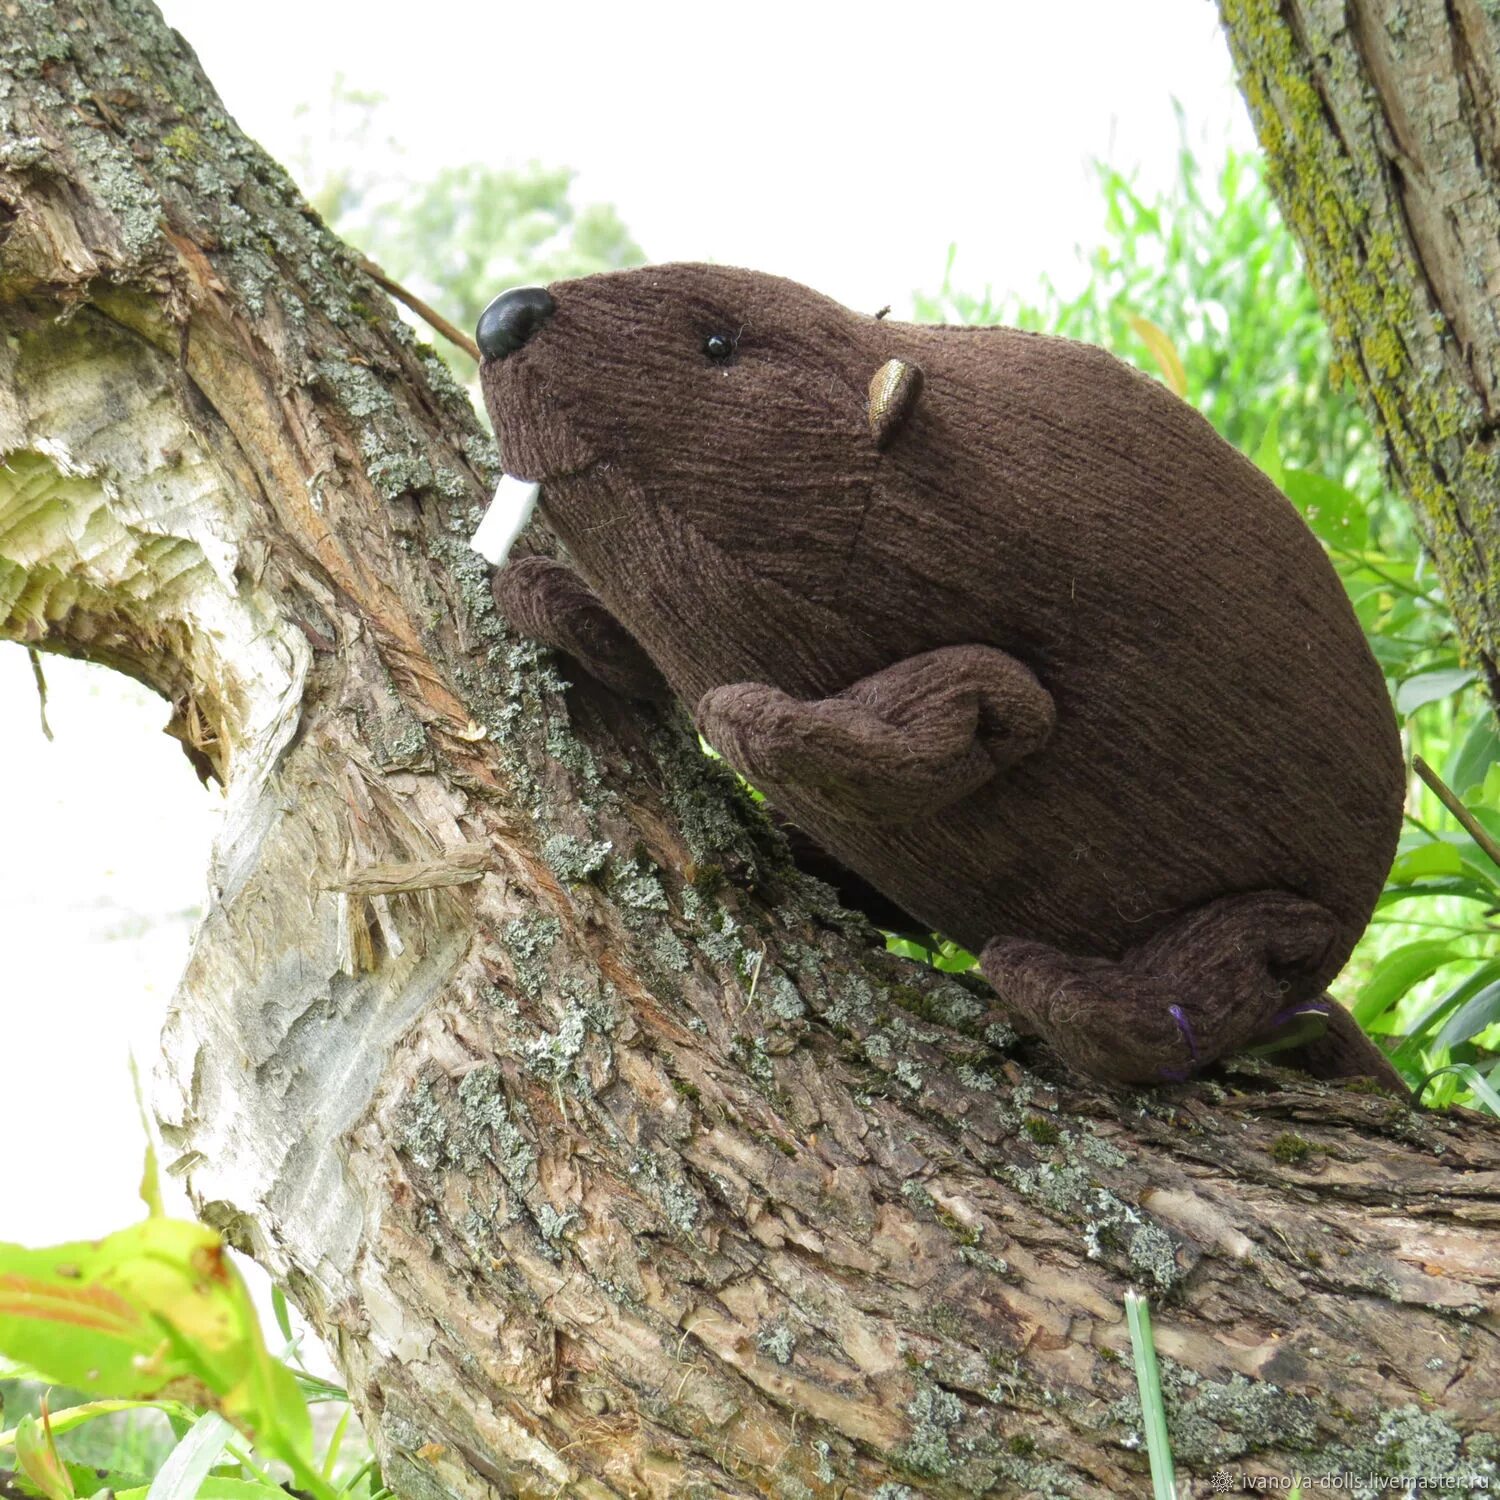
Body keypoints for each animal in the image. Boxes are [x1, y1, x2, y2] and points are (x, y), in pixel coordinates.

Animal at [477, 264, 1404, 1086]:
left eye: (716, 345)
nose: (499, 320)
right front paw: (550, 594)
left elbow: (979, 705)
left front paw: (763, 719)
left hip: (1287, 934)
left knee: (1225, 972)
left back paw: (1078, 991)